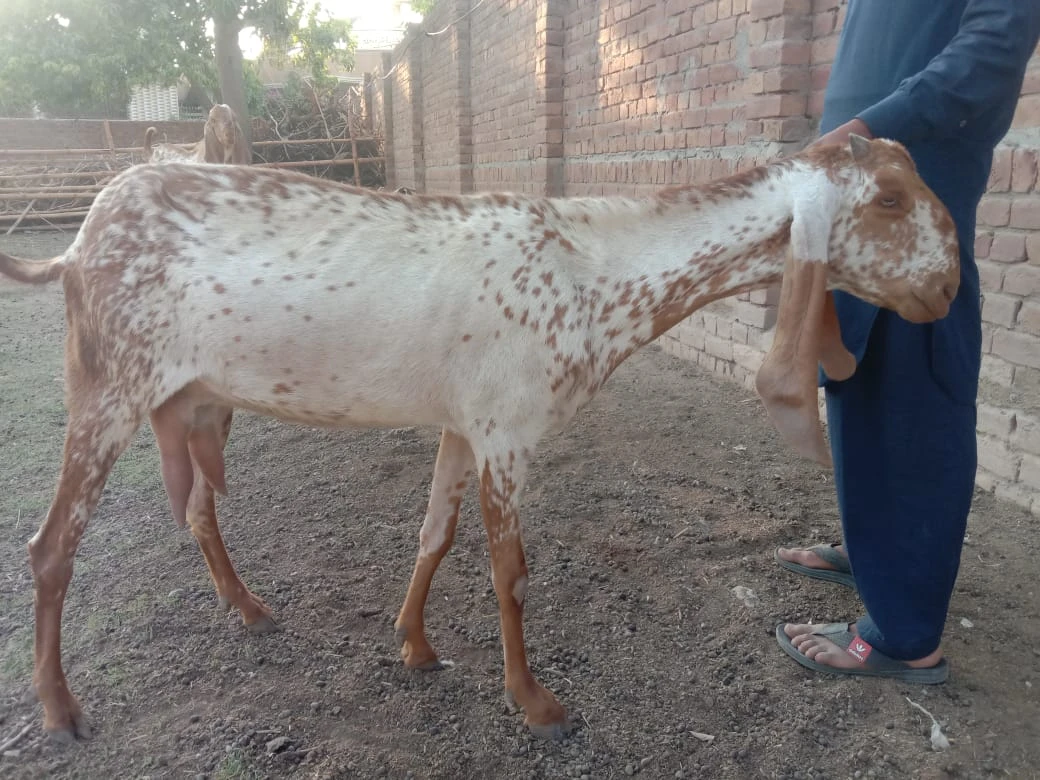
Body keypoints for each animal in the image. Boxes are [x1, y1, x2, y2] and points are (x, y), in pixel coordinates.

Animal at [0, 136, 956, 744]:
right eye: (890, 198)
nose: (947, 288)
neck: (593, 276)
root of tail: (76, 245)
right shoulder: (509, 429)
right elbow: (512, 571)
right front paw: (534, 701)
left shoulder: (464, 425)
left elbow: (435, 533)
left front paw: (415, 645)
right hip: (109, 387)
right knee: (52, 547)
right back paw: (61, 710)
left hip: (195, 402)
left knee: (197, 506)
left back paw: (248, 608)